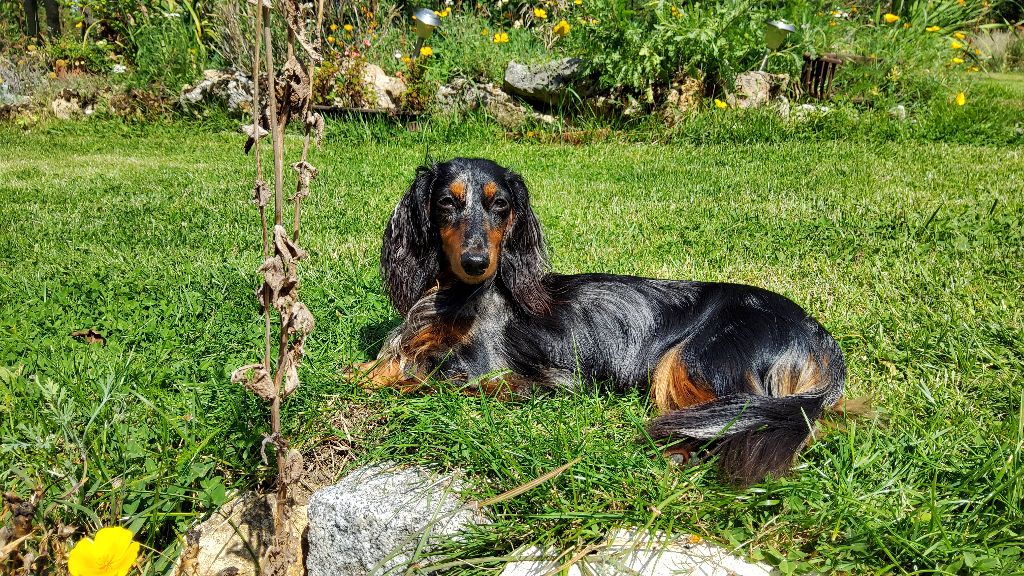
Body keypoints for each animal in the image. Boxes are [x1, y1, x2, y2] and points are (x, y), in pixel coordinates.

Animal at [356, 156, 843, 483]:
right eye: (445, 202)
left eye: (501, 205)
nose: (477, 262)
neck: (458, 296)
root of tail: (814, 332)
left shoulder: (499, 373)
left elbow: (420, 373)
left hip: (693, 362)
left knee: (761, 420)